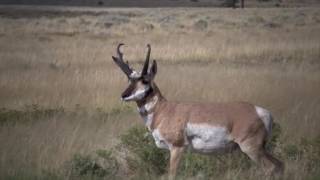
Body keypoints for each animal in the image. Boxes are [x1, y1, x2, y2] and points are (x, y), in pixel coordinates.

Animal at [112, 44, 282, 179]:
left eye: (145, 80)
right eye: (129, 79)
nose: (123, 95)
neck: (164, 110)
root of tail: (261, 112)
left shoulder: (177, 148)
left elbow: (172, 175)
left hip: (251, 149)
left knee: (270, 168)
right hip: (260, 149)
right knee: (280, 164)